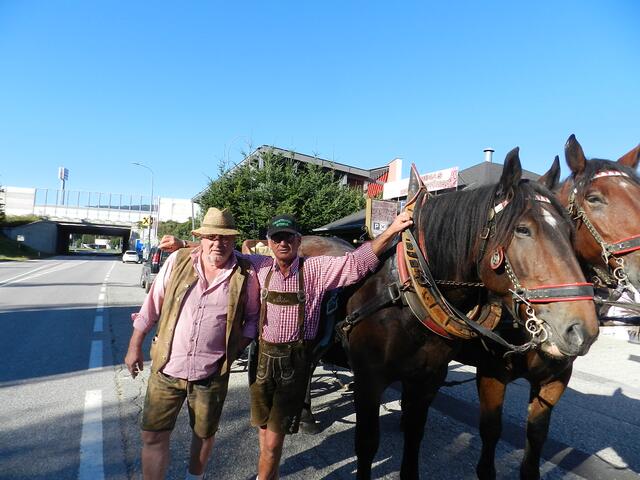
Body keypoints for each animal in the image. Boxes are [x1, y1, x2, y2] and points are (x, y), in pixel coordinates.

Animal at [302, 148, 596, 478]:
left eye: (570, 232)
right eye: (523, 229)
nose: (582, 328)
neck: (407, 298)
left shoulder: (428, 379)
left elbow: (416, 433)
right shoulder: (370, 380)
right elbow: (367, 443)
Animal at [464, 135, 640, 480]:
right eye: (595, 199)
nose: (580, 329)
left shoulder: (555, 378)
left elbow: (536, 436)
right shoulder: (490, 374)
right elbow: (491, 430)